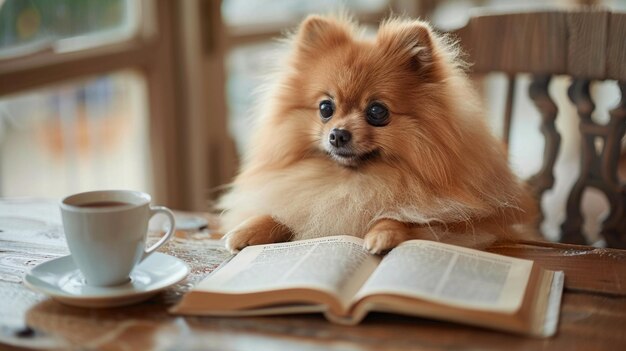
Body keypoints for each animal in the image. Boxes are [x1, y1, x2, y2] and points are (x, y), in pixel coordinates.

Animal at [217, 15, 532, 254]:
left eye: (377, 111)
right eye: (325, 108)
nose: (337, 134)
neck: (354, 183)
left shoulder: (472, 222)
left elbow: (406, 216)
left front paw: (382, 233)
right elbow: (286, 211)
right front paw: (247, 230)